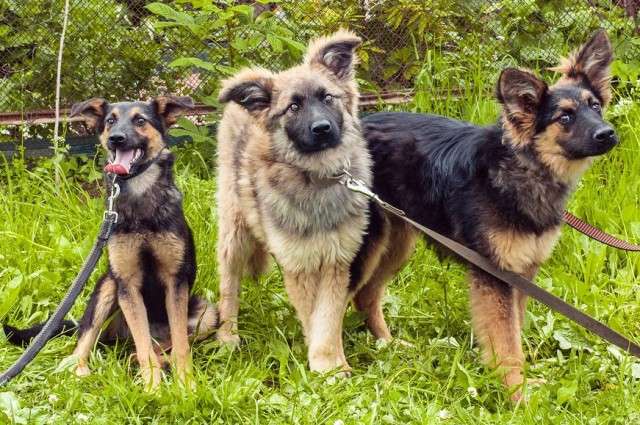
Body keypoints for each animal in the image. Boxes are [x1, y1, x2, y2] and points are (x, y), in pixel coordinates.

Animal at [2, 97, 219, 388]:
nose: (116, 138)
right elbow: (142, 344)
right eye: (110, 121)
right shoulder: (126, 284)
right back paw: (83, 370)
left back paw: (157, 360)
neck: (140, 201)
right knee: (87, 342)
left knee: (164, 345)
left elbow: (182, 345)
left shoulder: (176, 282)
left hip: (207, 313)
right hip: (107, 285)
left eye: (140, 120)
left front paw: (186, 385)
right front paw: (153, 387)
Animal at [215, 29, 388, 372]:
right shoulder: (300, 265)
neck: (318, 178)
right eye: (293, 107)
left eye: (327, 98)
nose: (322, 129)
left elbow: (327, 316)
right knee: (229, 283)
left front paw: (333, 363)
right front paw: (327, 367)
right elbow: (314, 318)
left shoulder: (337, 261)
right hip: (234, 230)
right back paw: (227, 336)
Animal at [358, 31, 616, 400]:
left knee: (366, 295)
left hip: (396, 243)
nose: (607, 133)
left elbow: (515, 330)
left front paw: (523, 383)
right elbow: (506, 343)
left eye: (595, 106)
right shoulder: (495, 276)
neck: (521, 170)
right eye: (564, 117)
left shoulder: (523, 273)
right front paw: (517, 395)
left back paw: (389, 345)